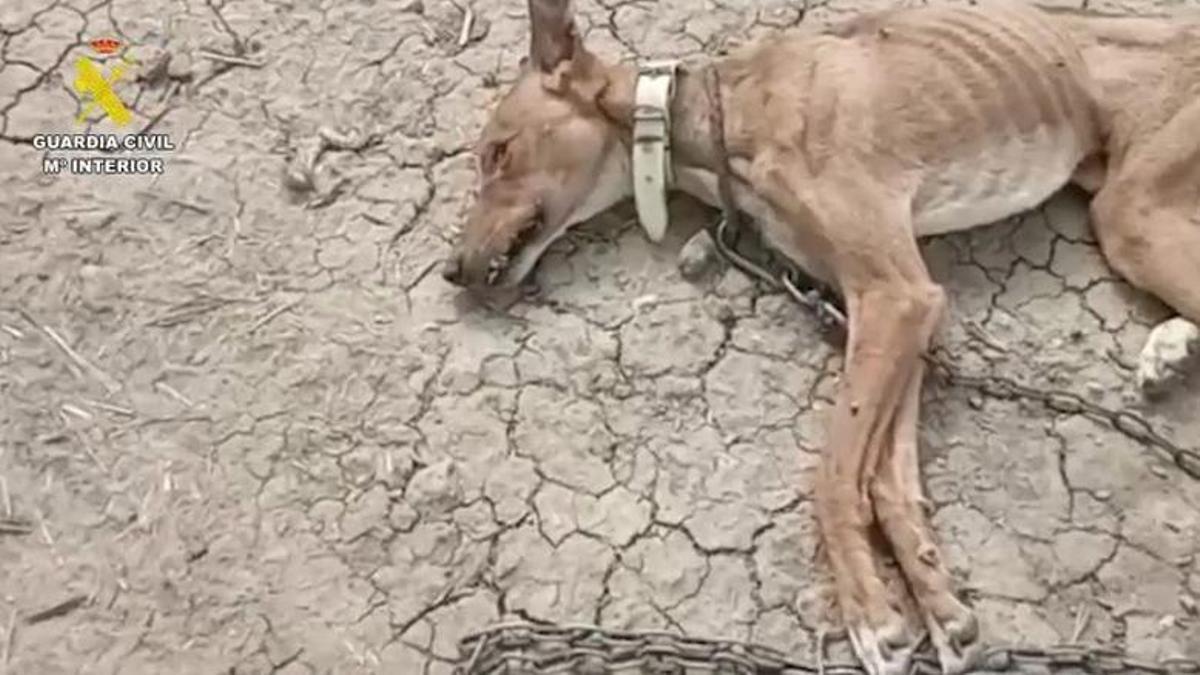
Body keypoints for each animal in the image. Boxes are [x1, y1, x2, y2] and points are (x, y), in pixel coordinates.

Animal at [441, 2, 1200, 667]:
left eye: (498, 153)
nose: (451, 269)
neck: (717, 113)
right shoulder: (894, 307)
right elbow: (888, 479)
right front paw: (936, 602)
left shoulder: (897, 296)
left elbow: (834, 475)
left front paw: (871, 617)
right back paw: (1172, 350)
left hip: (1129, 210)